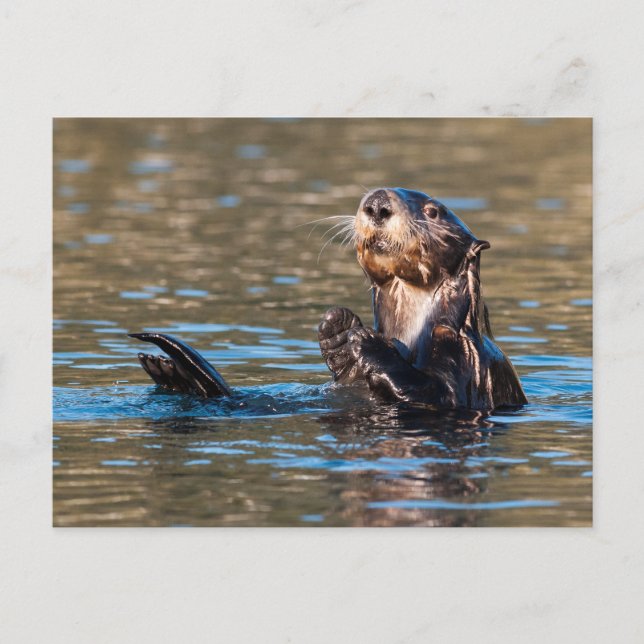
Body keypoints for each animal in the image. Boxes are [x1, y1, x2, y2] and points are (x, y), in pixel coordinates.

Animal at [130, 187, 527, 410]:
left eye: (433, 211)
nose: (377, 204)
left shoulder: (465, 361)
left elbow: (436, 394)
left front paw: (366, 342)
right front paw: (337, 328)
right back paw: (169, 372)